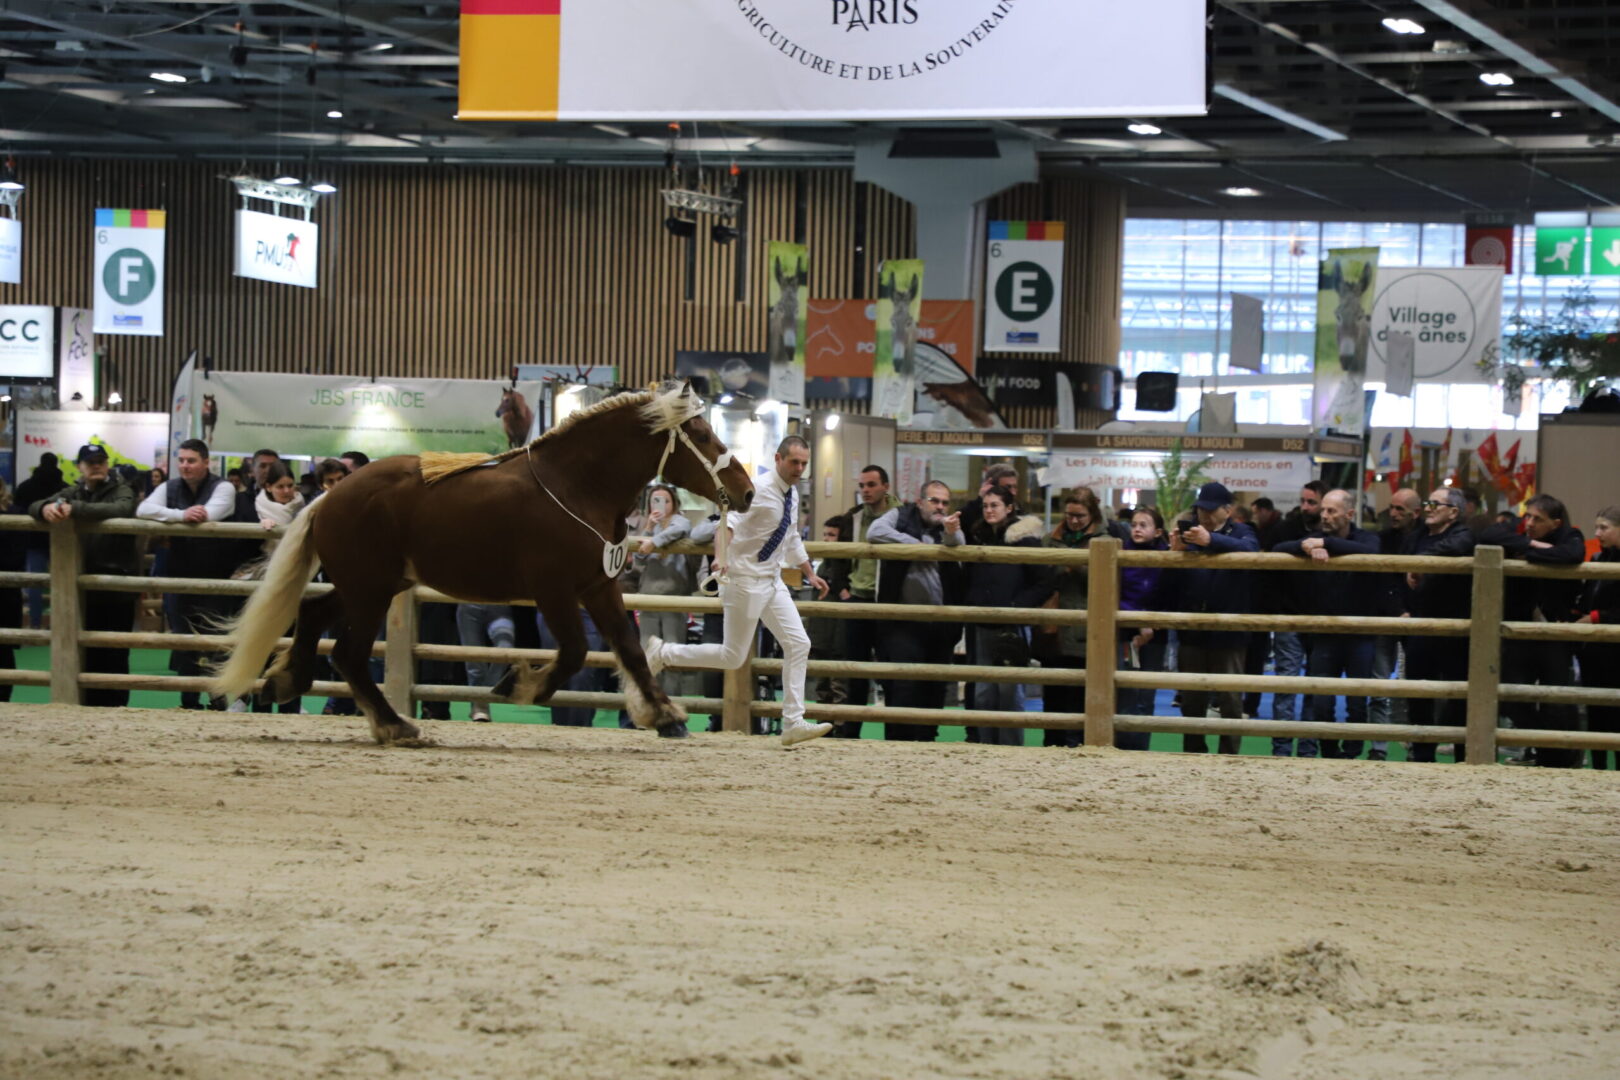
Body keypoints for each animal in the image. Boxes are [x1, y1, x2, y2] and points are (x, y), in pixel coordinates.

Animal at [209, 382, 754, 745]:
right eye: (702, 433)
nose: (747, 491)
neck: (577, 486)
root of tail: (329, 498)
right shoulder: (554, 590)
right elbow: (575, 652)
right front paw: (520, 684)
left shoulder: (599, 587)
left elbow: (630, 649)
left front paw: (666, 717)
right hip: (369, 590)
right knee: (348, 653)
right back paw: (393, 724)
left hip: (366, 585)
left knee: (313, 615)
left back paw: (288, 680)